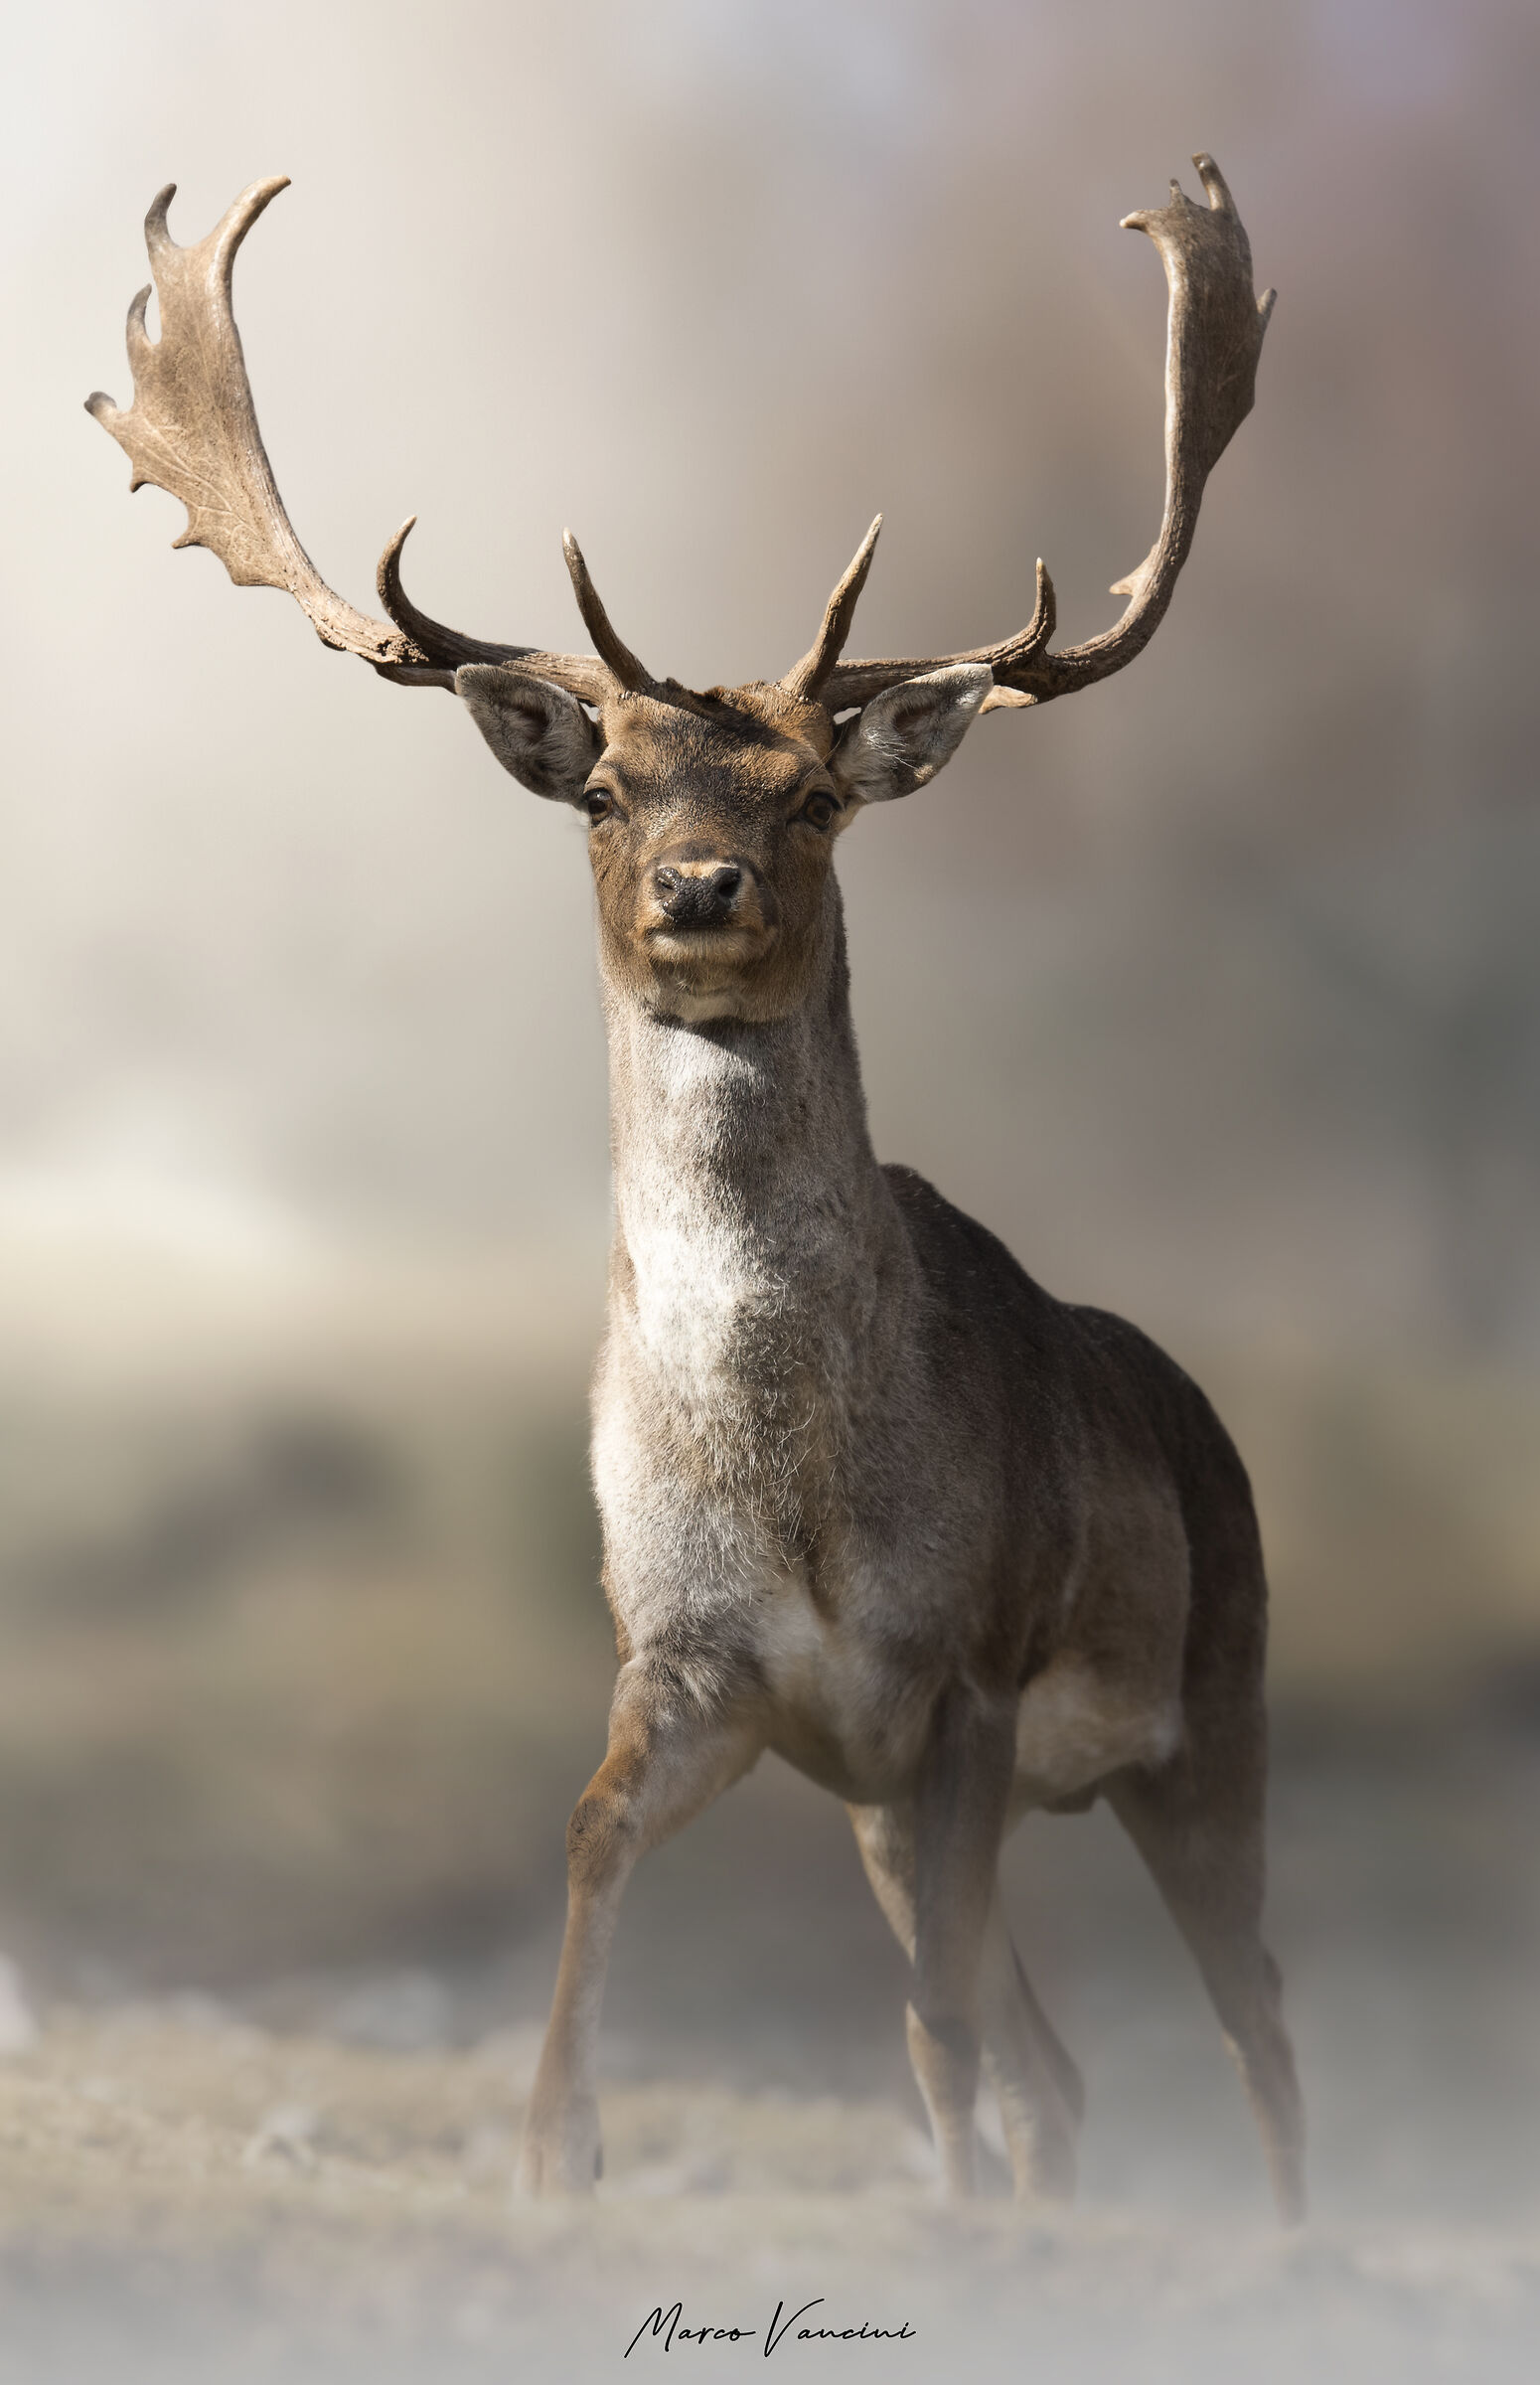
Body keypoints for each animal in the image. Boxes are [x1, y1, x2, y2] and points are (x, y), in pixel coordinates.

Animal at [88, 155, 1302, 2222]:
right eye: (604, 793)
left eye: (813, 795)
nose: (701, 885)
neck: (797, 1483)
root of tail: (1201, 1410)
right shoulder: (704, 1665)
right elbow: (595, 1843)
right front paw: (552, 2149)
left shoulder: (969, 1671)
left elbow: (941, 2013)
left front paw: (942, 2216)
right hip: (914, 1797)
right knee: (1059, 2061)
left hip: (1210, 1698)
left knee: (1255, 2016)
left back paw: (1276, 2240)